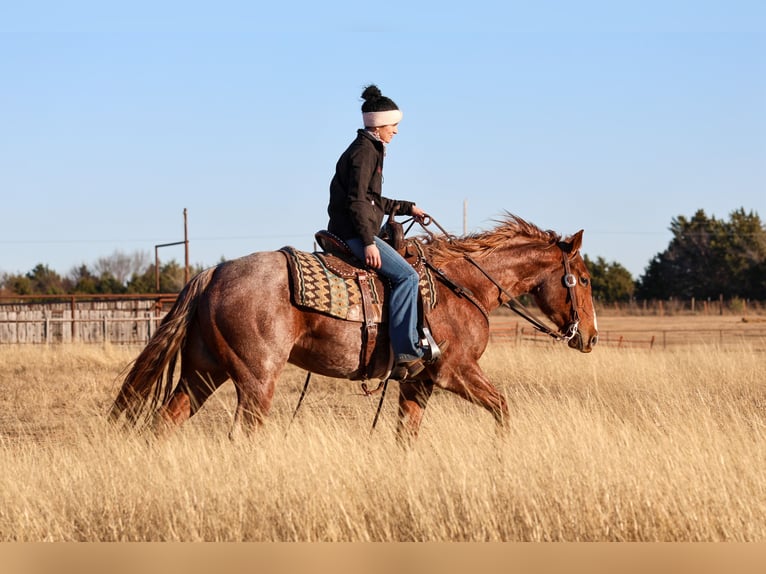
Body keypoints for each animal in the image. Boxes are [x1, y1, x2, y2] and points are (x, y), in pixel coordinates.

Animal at [108, 213, 598, 442]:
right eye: (584, 278)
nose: (590, 337)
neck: (464, 287)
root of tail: (214, 272)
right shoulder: (456, 372)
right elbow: (502, 408)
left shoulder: (417, 383)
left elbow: (406, 437)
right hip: (254, 379)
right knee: (241, 435)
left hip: (202, 373)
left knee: (163, 423)